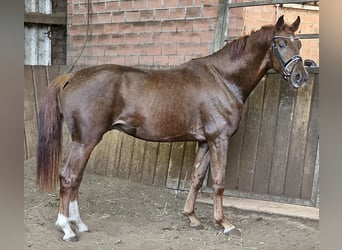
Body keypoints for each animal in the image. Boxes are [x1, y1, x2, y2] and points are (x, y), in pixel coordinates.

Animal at [36, 15, 308, 240]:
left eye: (300, 45)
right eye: (281, 44)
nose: (300, 77)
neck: (223, 79)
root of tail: (72, 77)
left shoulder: (204, 141)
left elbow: (196, 179)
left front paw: (192, 217)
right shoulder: (219, 139)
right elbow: (218, 182)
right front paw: (224, 223)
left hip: (84, 142)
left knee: (77, 178)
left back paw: (78, 223)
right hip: (86, 141)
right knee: (69, 177)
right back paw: (67, 228)